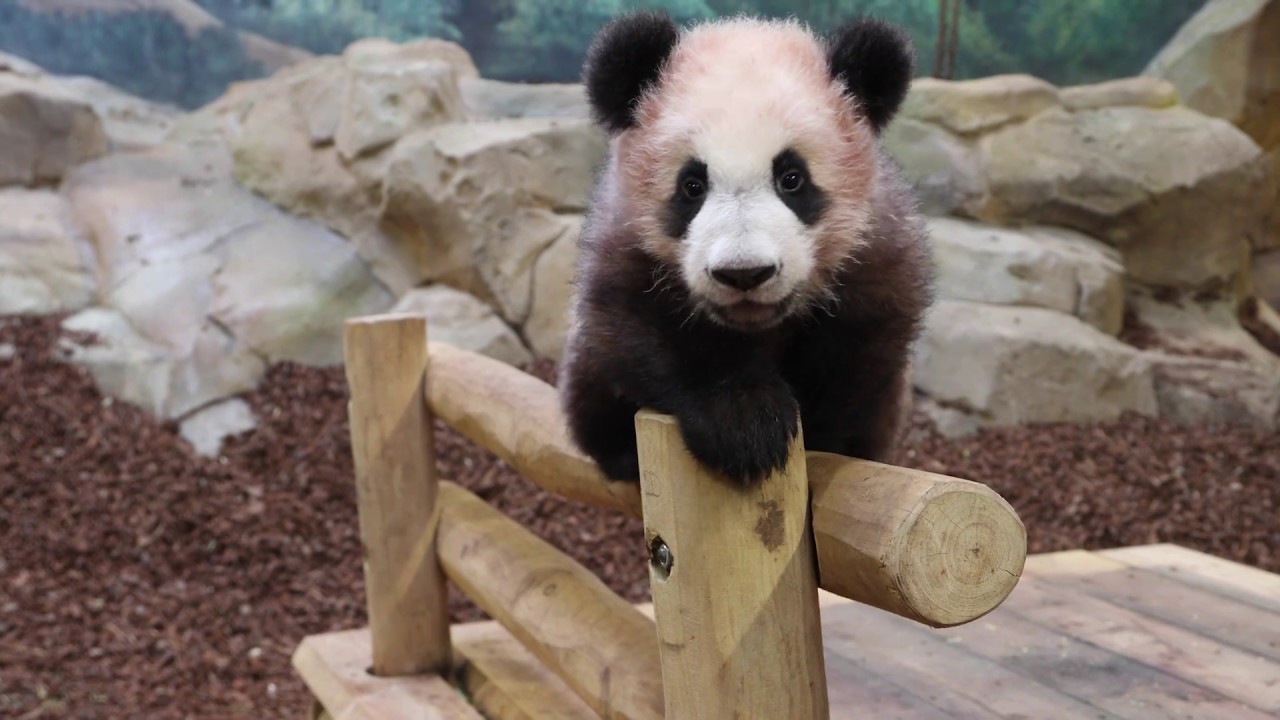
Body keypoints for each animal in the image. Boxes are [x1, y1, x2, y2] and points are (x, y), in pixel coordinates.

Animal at [558, 11, 934, 487]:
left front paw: (816, 437)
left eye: (791, 178)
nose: (744, 273)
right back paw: (623, 455)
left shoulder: (875, 248)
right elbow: (634, 318)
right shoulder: (625, 238)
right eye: (692, 185)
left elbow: (861, 345)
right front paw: (743, 421)